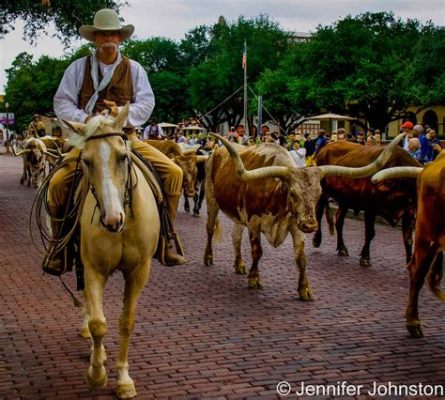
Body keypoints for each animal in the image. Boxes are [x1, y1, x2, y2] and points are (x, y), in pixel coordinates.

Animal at [62, 104, 160, 400]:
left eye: (122, 157)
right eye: (87, 161)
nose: (112, 219)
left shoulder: (139, 272)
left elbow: (126, 322)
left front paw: (124, 380)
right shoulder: (94, 269)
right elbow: (98, 323)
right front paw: (97, 374)